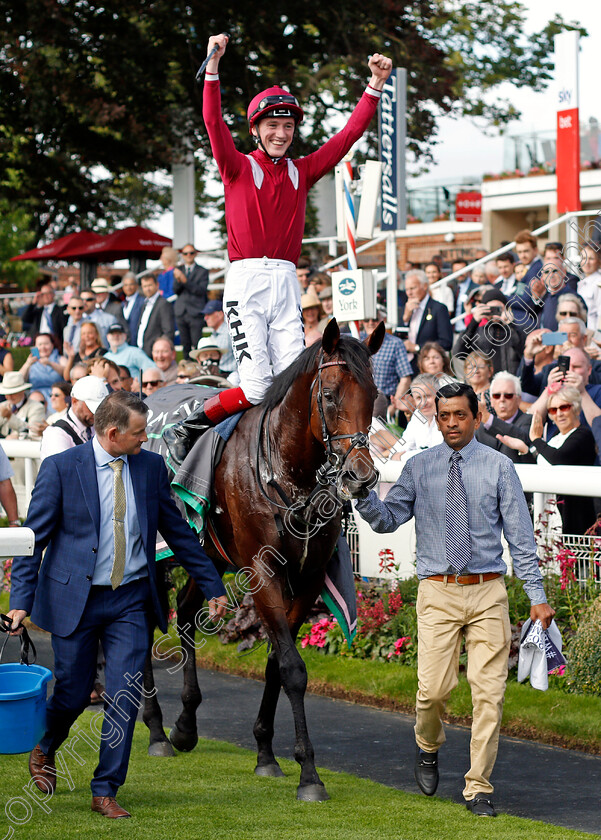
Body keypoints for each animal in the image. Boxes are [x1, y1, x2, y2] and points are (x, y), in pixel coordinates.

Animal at [143, 316, 382, 800]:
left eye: (375, 395)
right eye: (331, 395)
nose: (361, 476)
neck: (286, 469)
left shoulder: (307, 577)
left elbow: (277, 662)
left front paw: (266, 753)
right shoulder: (263, 569)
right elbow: (292, 667)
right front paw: (309, 774)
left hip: (209, 554)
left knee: (184, 612)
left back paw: (185, 725)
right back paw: (156, 729)